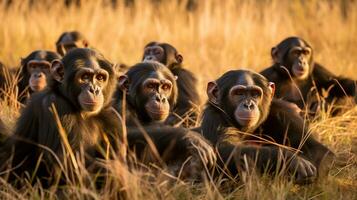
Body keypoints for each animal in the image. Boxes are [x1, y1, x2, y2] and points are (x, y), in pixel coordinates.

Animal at [1, 48, 122, 186]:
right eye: (85, 77)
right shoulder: (54, 105)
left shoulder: (111, 115)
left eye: (100, 78)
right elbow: (67, 168)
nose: (94, 89)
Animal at [197, 69, 334, 184]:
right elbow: (224, 150)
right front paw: (291, 159)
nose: (248, 105)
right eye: (239, 93)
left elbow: (316, 148)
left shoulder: (284, 111)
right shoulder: (214, 117)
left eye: (255, 94)